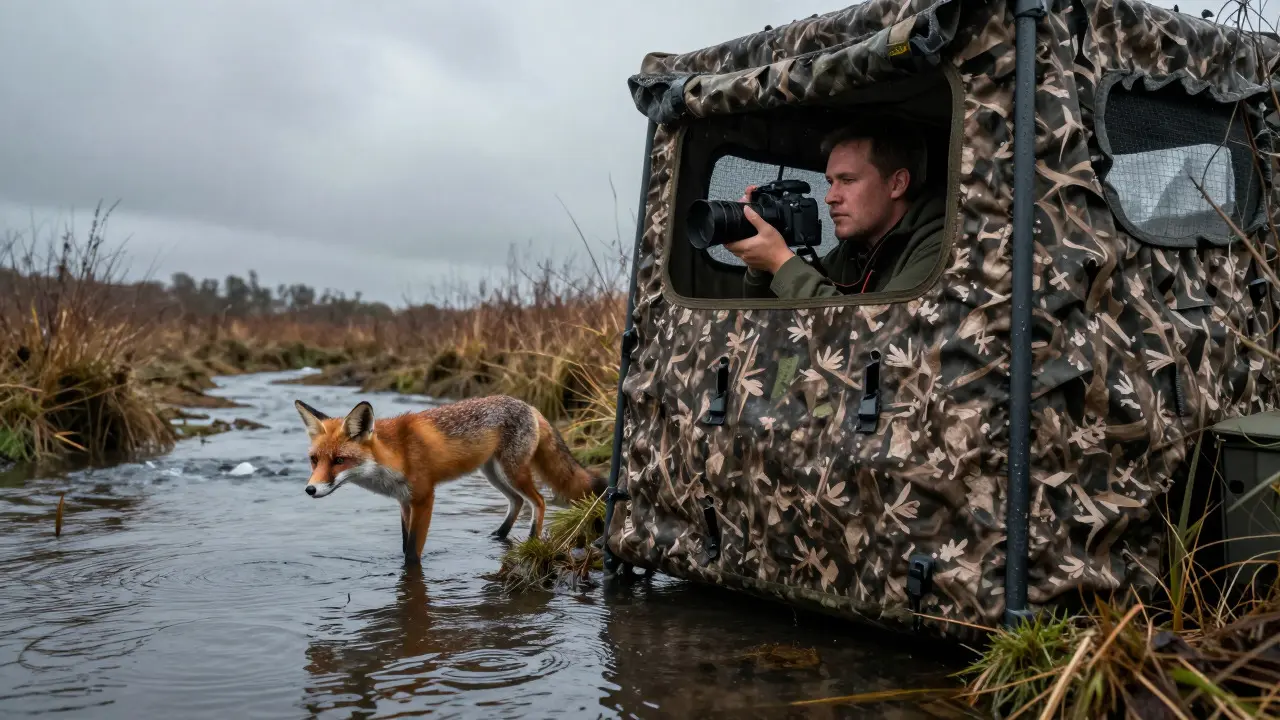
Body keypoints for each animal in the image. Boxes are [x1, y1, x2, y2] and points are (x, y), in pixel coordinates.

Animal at [293, 394, 607, 565]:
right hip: (493, 473)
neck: (396, 454)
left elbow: (412, 553)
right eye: (314, 460)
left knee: (539, 501)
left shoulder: (424, 498)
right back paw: (499, 535)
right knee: (518, 502)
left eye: (339, 461)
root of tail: (529, 406)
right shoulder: (404, 502)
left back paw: (531, 540)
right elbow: (404, 544)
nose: (310, 489)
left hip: (511, 472)